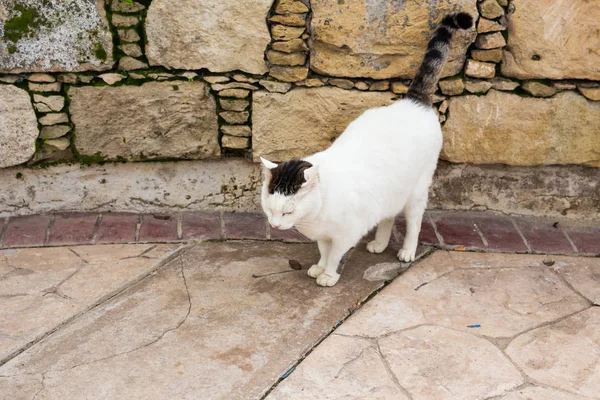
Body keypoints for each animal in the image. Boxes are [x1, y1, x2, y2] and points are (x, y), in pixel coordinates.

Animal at [260, 12, 476, 286]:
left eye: (288, 211)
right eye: (269, 209)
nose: (276, 226)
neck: (317, 211)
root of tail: (413, 102)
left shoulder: (346, 234)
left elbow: (335, 254)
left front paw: (328, 274)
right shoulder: (323, 234)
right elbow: (323, 250)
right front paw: (319, 267)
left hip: (417, 191)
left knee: (414, 222)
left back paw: (407, 250)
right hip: (390, 191)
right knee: (387, 216)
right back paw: (380, 244)